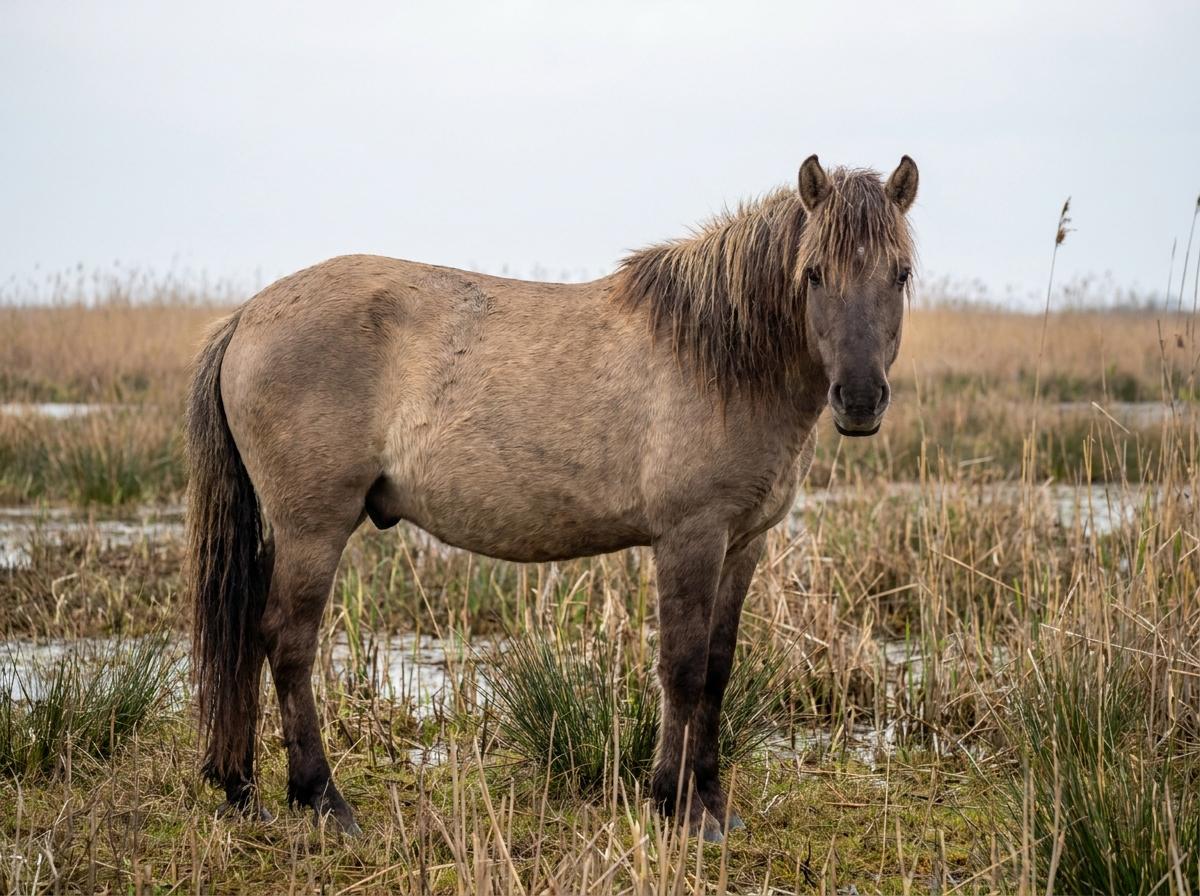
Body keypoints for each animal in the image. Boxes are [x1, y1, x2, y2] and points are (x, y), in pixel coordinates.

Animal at [186, 154, 918, 841]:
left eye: (901, 274)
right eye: (814, 273)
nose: (859, 400)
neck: (721, 358)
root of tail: (248, 316)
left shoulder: (744, 543)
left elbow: (716, 670)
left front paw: (712, 804)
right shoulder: (691, 538)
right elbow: (681, 669)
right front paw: (677, 806)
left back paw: (243, 787)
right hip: (313, 529)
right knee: (288, 641)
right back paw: (322, 799)